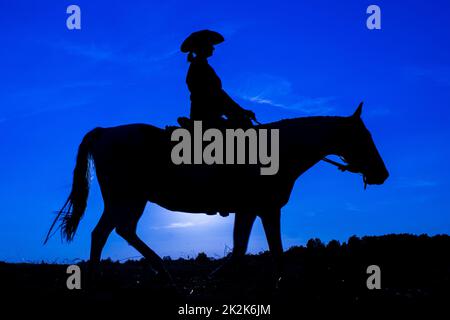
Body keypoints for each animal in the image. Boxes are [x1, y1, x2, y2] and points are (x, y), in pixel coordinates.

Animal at [45, 104, 388, 282]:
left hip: (122, 199)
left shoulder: (259, 209)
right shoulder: (258, 208)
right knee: (114, 231)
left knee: (107, 232)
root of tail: (105, 132)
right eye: (364, 137)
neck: (279, 150)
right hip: (128, 198)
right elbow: (250, 250)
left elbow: (258, 250)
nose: (382, 174)